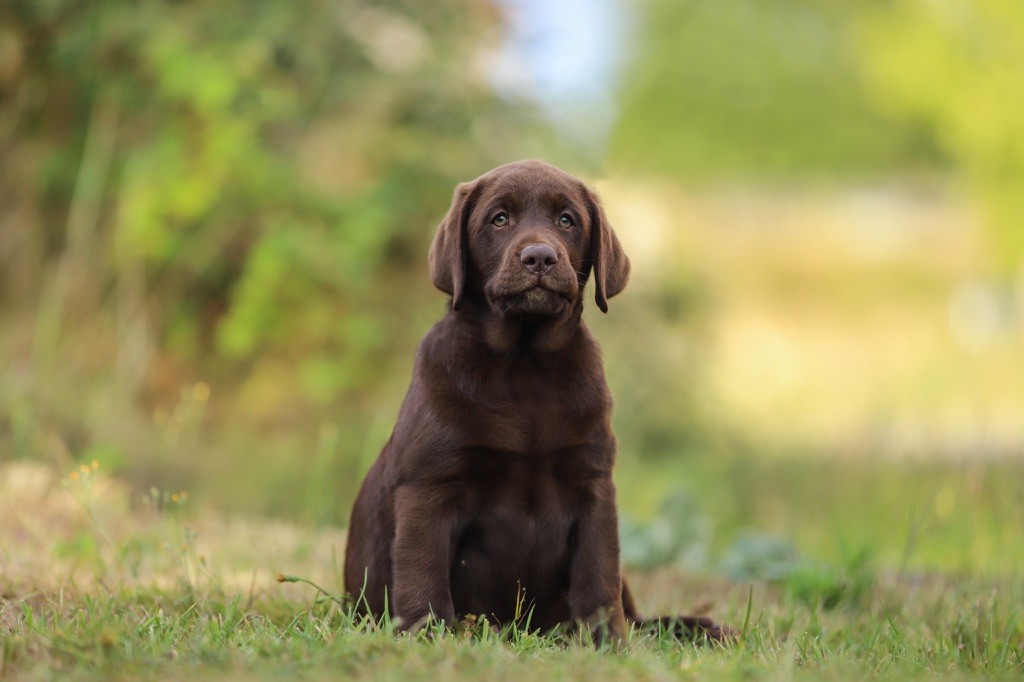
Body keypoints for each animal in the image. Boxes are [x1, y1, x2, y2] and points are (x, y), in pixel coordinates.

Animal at [344, 159, 729, 643]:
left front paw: (606, 643)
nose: (540, 257)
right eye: (499, 219)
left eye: (567, 220)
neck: (523, 364)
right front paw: (427, 637)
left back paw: (698, 628)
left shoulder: (593, 486)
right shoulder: (429, 487)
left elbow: (598, 577)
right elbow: (424, 576)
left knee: (637, 614)